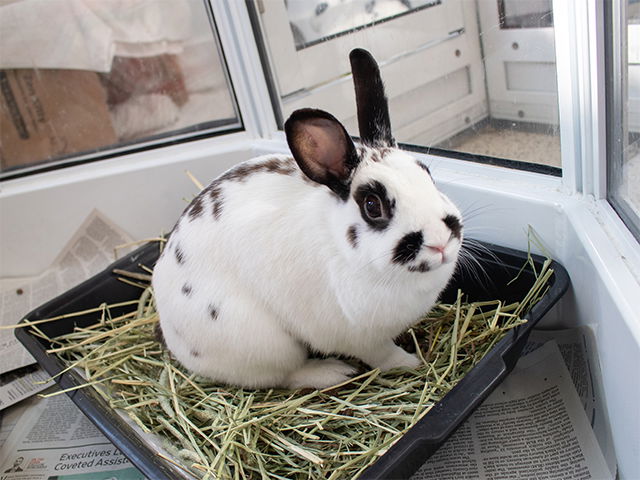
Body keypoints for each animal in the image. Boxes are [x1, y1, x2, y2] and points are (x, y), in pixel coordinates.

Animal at [152, 47, 462, 390]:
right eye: (372, 205)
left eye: (426, 173)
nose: (440, 241)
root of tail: (172, 334)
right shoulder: (362, 339)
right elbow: (384, 355)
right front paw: (411, 363)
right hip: (265, 343)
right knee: (286, 374)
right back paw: (333, 371)